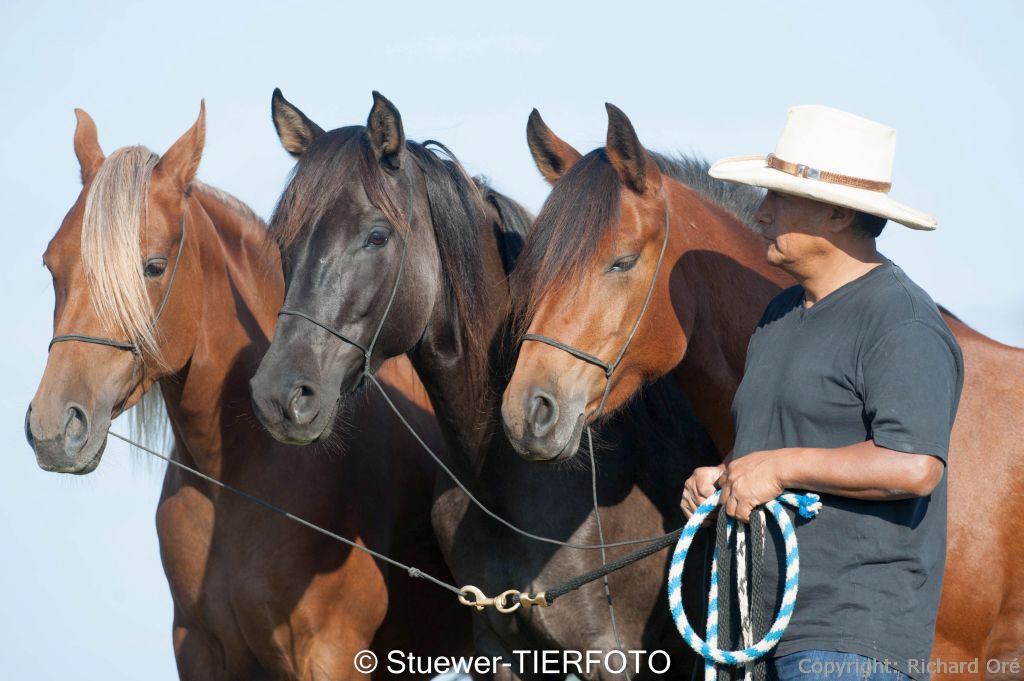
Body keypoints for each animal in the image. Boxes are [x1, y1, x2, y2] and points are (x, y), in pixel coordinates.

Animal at [24, 103, 470, 680]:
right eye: (51, 263)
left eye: (153, 266)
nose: (54, 427)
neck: (235, 479)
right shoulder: (199, 651)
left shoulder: (332, 653)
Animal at [248, 89, 721, 681]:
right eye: (283, 240)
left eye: (377, 236)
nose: (280, 395)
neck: (508, 485)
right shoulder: (498, 647)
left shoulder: (611, 653)